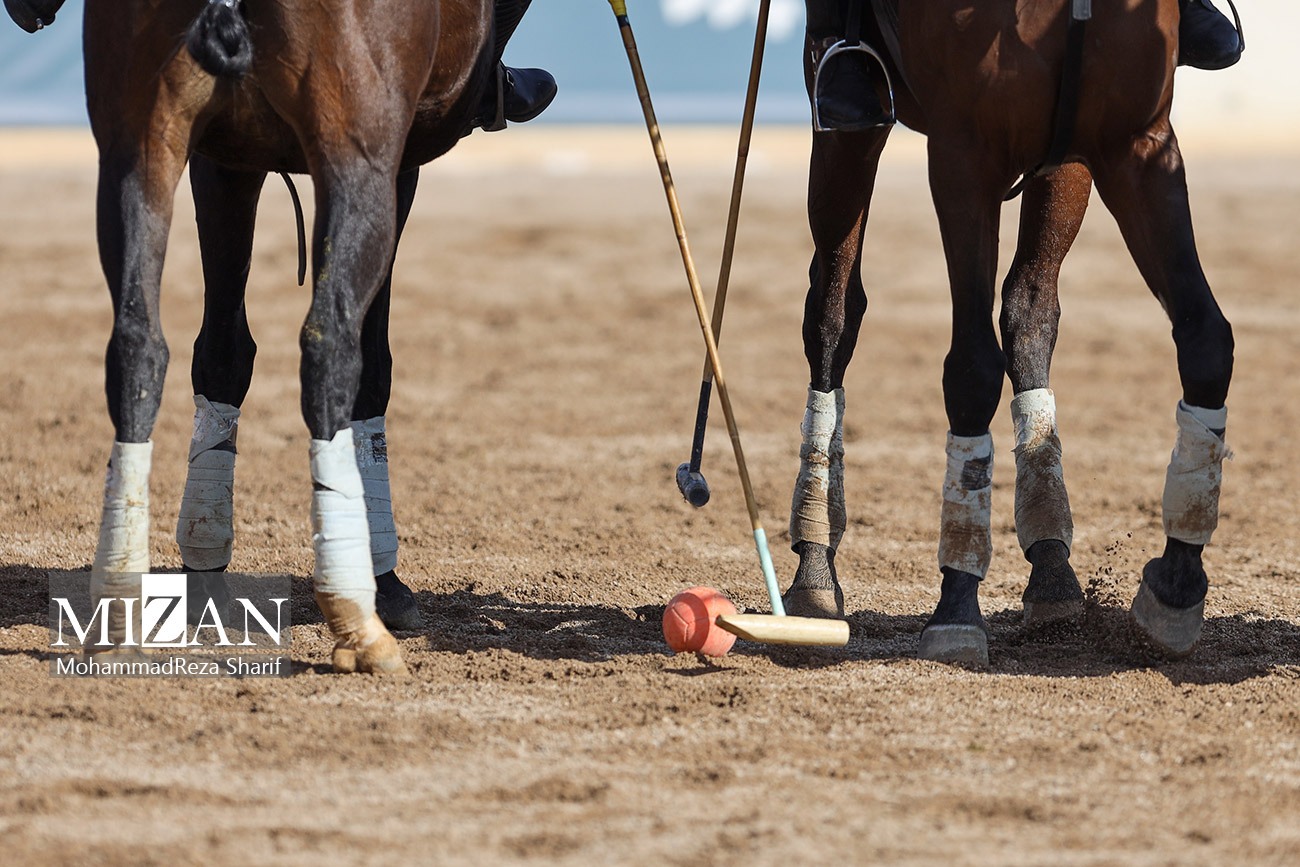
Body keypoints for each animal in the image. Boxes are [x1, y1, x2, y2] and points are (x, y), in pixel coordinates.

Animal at [83, 0, 501, 673]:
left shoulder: (222, 157)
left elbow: (223, 351)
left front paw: (205, 562)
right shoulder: (396, 160)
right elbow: (372, 366)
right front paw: (385, 579)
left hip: (137, 144)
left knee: (138, 346)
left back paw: (116, 604)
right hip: (356, 153)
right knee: (330, 349)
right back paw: (357, 617)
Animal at [782, 0, 1234, 665]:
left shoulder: (1135, 145)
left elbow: (1206, 337)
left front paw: (1176, 585)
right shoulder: (964, 156)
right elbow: (971, 369)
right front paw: (956, 602)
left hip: (1064, 168)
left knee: (1029, 312)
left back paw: (1052, 568)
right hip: (845, 130)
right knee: (833, 313)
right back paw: (813, 566)